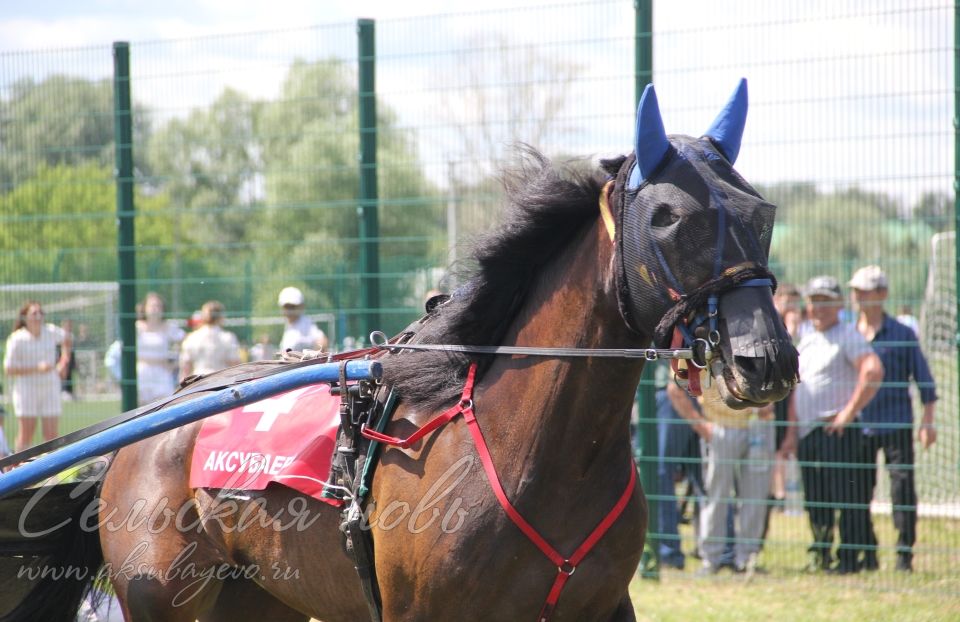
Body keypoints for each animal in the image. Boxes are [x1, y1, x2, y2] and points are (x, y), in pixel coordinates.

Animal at [11, 80, 800, 620]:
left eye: (761, 211)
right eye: (668, 219)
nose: (766, 360)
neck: (533, 452)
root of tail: (143, 436)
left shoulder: (602, 605)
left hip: (259, 599)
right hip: (163, 597)